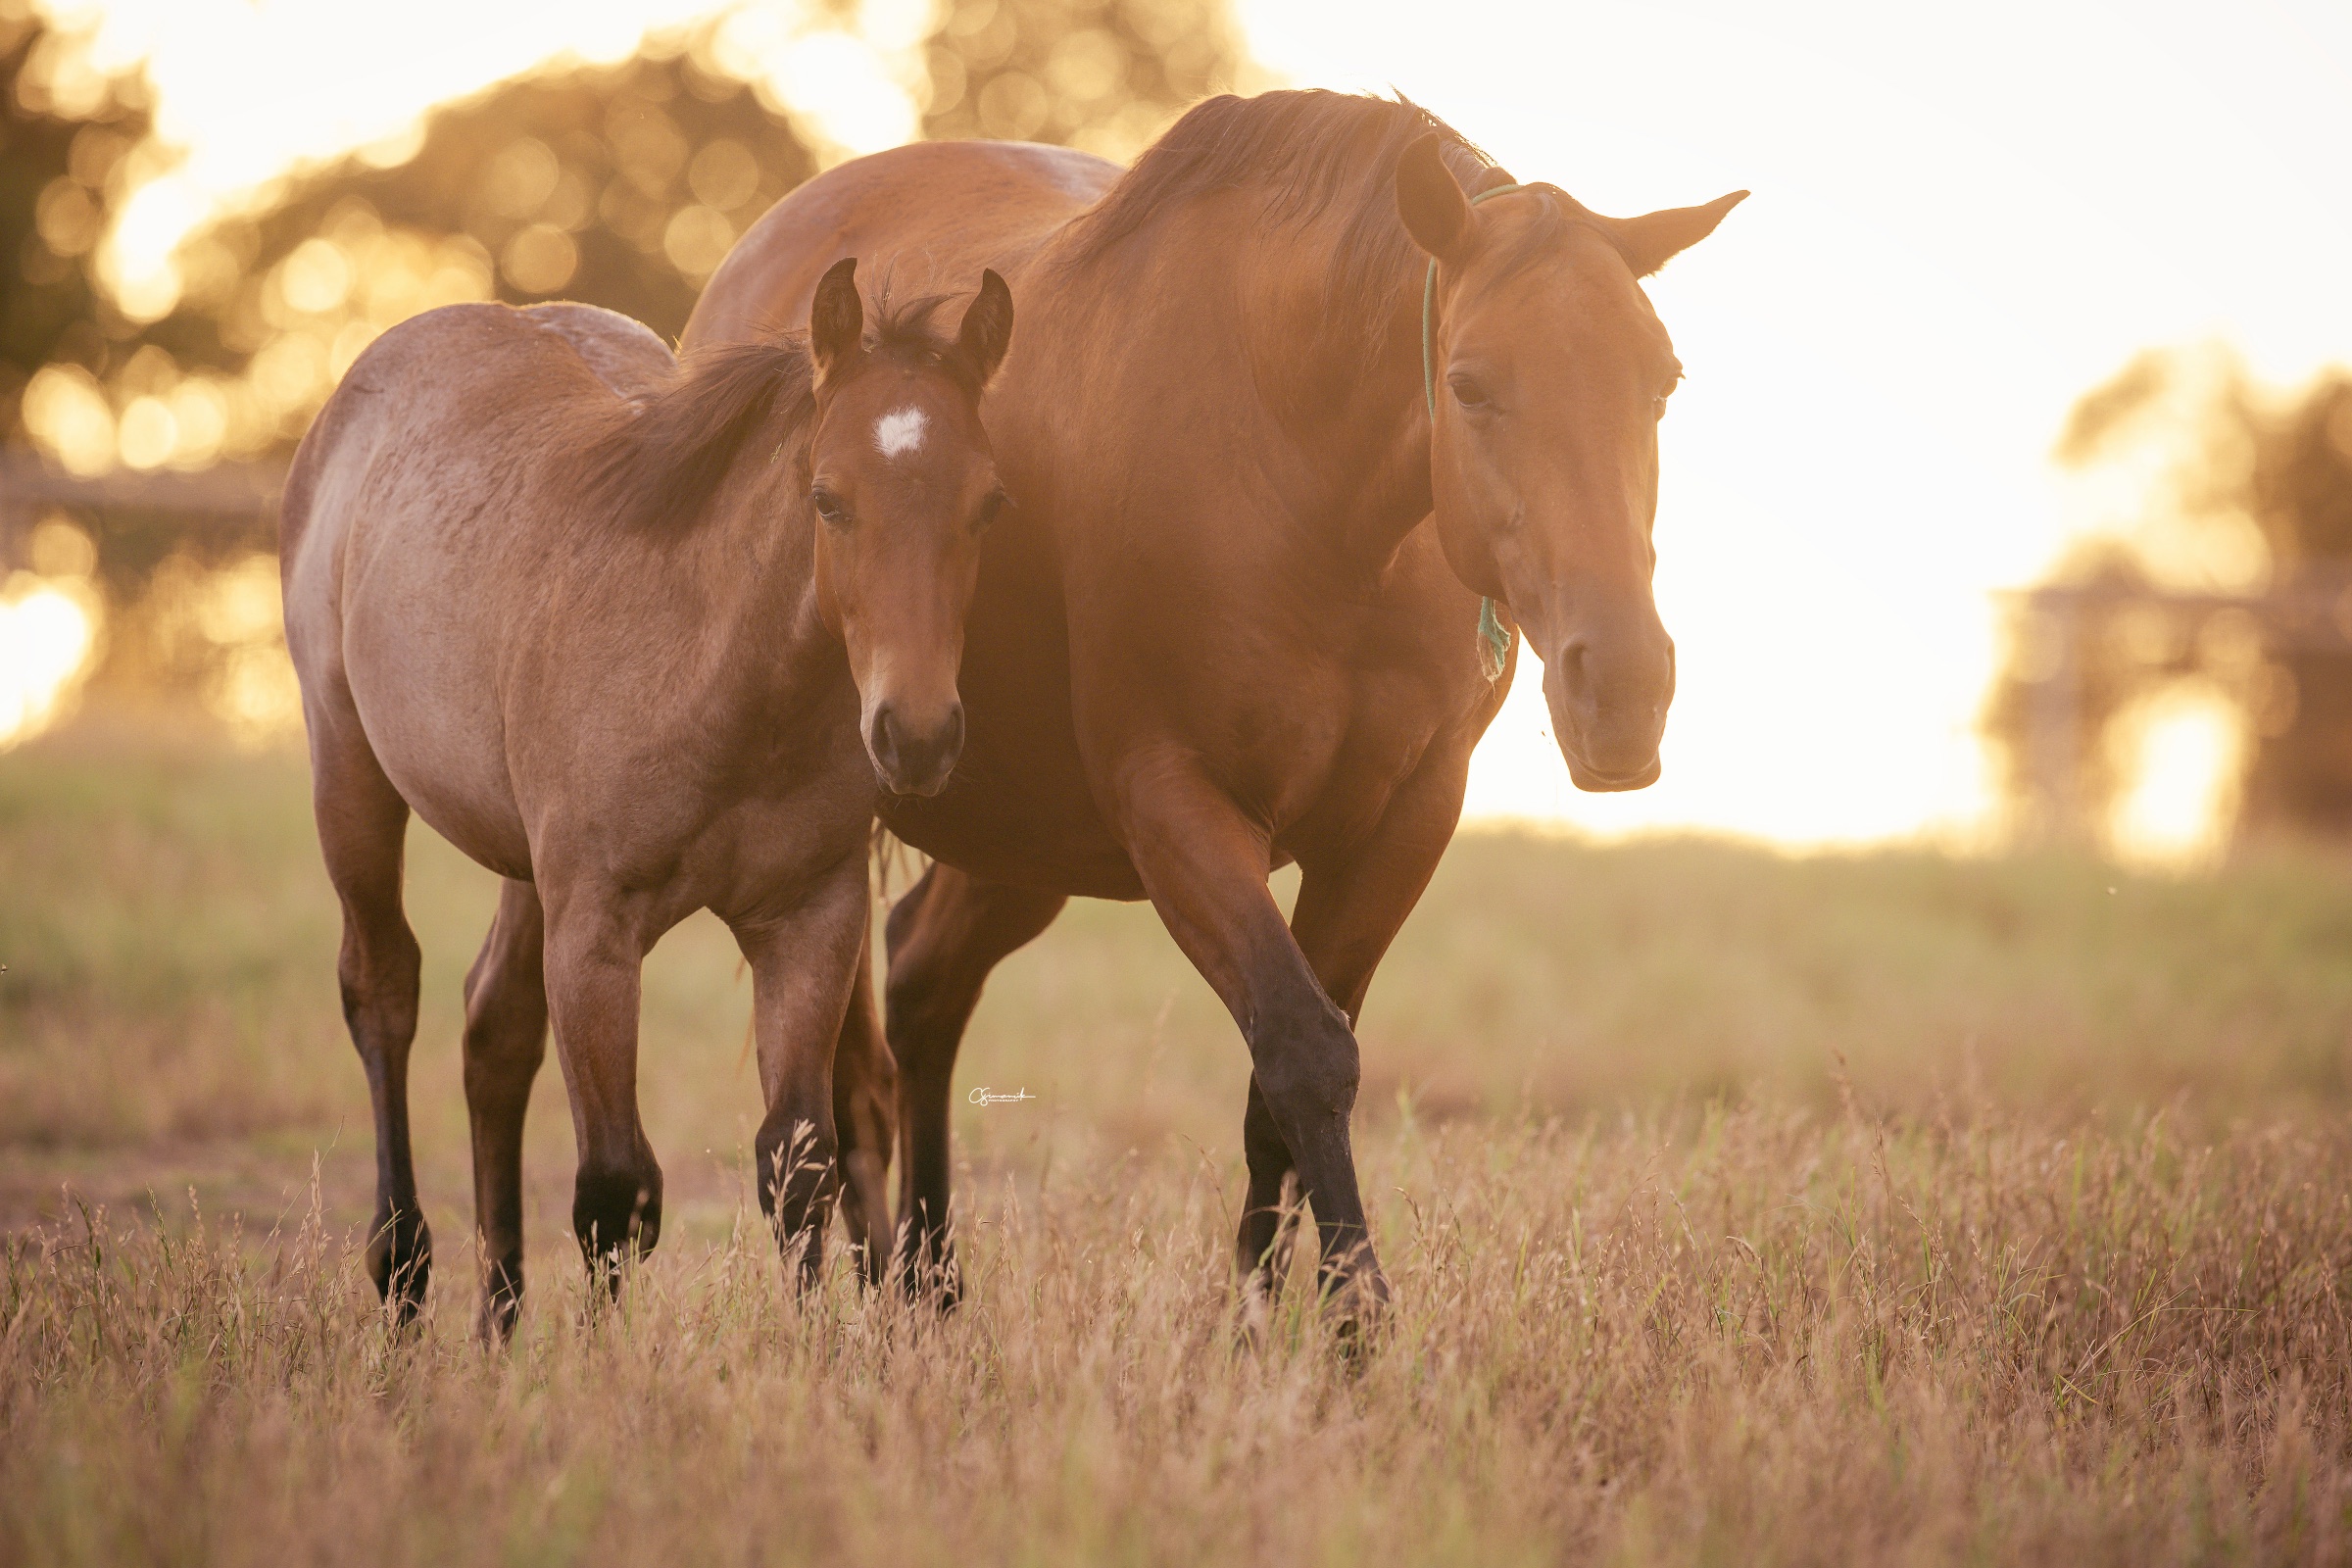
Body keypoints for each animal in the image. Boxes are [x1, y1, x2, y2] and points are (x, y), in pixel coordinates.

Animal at [281, 259, 1015, 1337]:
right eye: (829, 499)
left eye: (987, 504)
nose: (915, 736)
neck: (720, 677)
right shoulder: (597, 930)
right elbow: (615, 1186)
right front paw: (604, 1364)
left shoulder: (809, 920)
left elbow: (798, 1160)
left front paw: (809, 1357)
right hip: (350, 775)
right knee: (383, 990)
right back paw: (405, 1275)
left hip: (524, 864)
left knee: (494, 1030)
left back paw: (497, 1323)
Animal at [684, 90, 1743, 1322]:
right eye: (1473, 383)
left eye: (1660, 382)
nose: (1622, 686)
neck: (1296, 477)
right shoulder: (1177, 809)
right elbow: (1305, 1053)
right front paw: (1351, 1320)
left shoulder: (1400, 824)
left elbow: (1279, 1084)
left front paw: (1263, 1320)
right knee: (836, 1098)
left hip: (1018, 841)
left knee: (923, 989)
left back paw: (930, 1291)